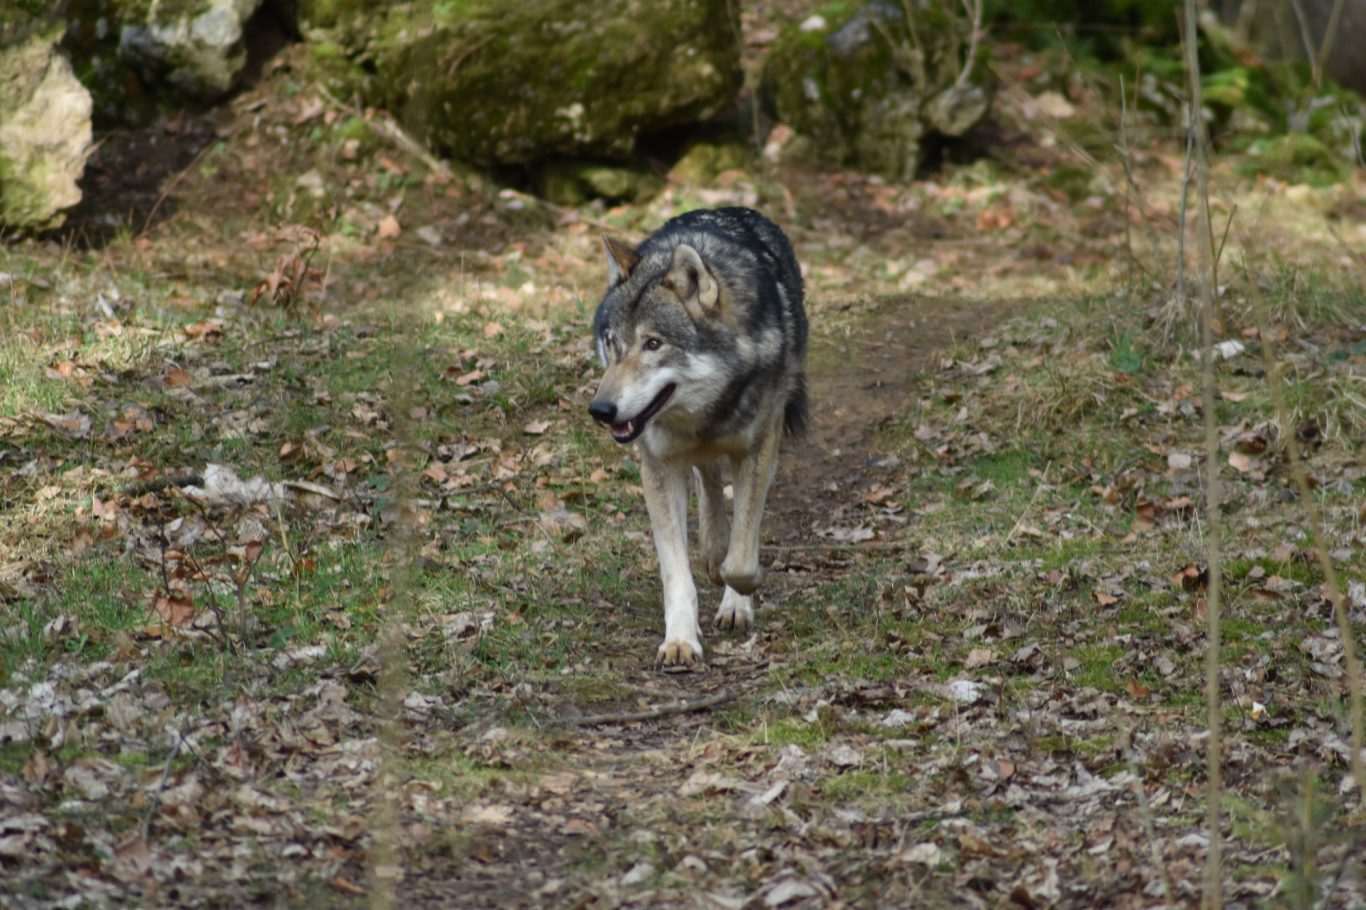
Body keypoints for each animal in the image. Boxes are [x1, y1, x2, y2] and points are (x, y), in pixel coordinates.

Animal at [587, 207, 808, 668]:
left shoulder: (760, 449)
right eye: (612, 344)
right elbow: (677, 574)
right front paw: (680, 641)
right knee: (708, 479)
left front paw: (740, 598)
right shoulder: (657, 466)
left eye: (653, 344)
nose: (600, 410)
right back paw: (711, 548)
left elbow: (742, 558)